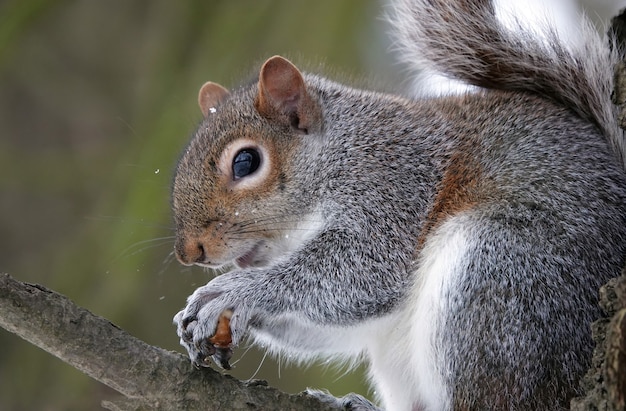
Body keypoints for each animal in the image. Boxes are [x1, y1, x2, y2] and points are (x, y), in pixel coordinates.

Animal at [168, 0, 624, 410]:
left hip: (500, 279)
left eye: (246, 162)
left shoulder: (394, 187)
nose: (189, 252)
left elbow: (363, 272)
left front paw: (234, 291)